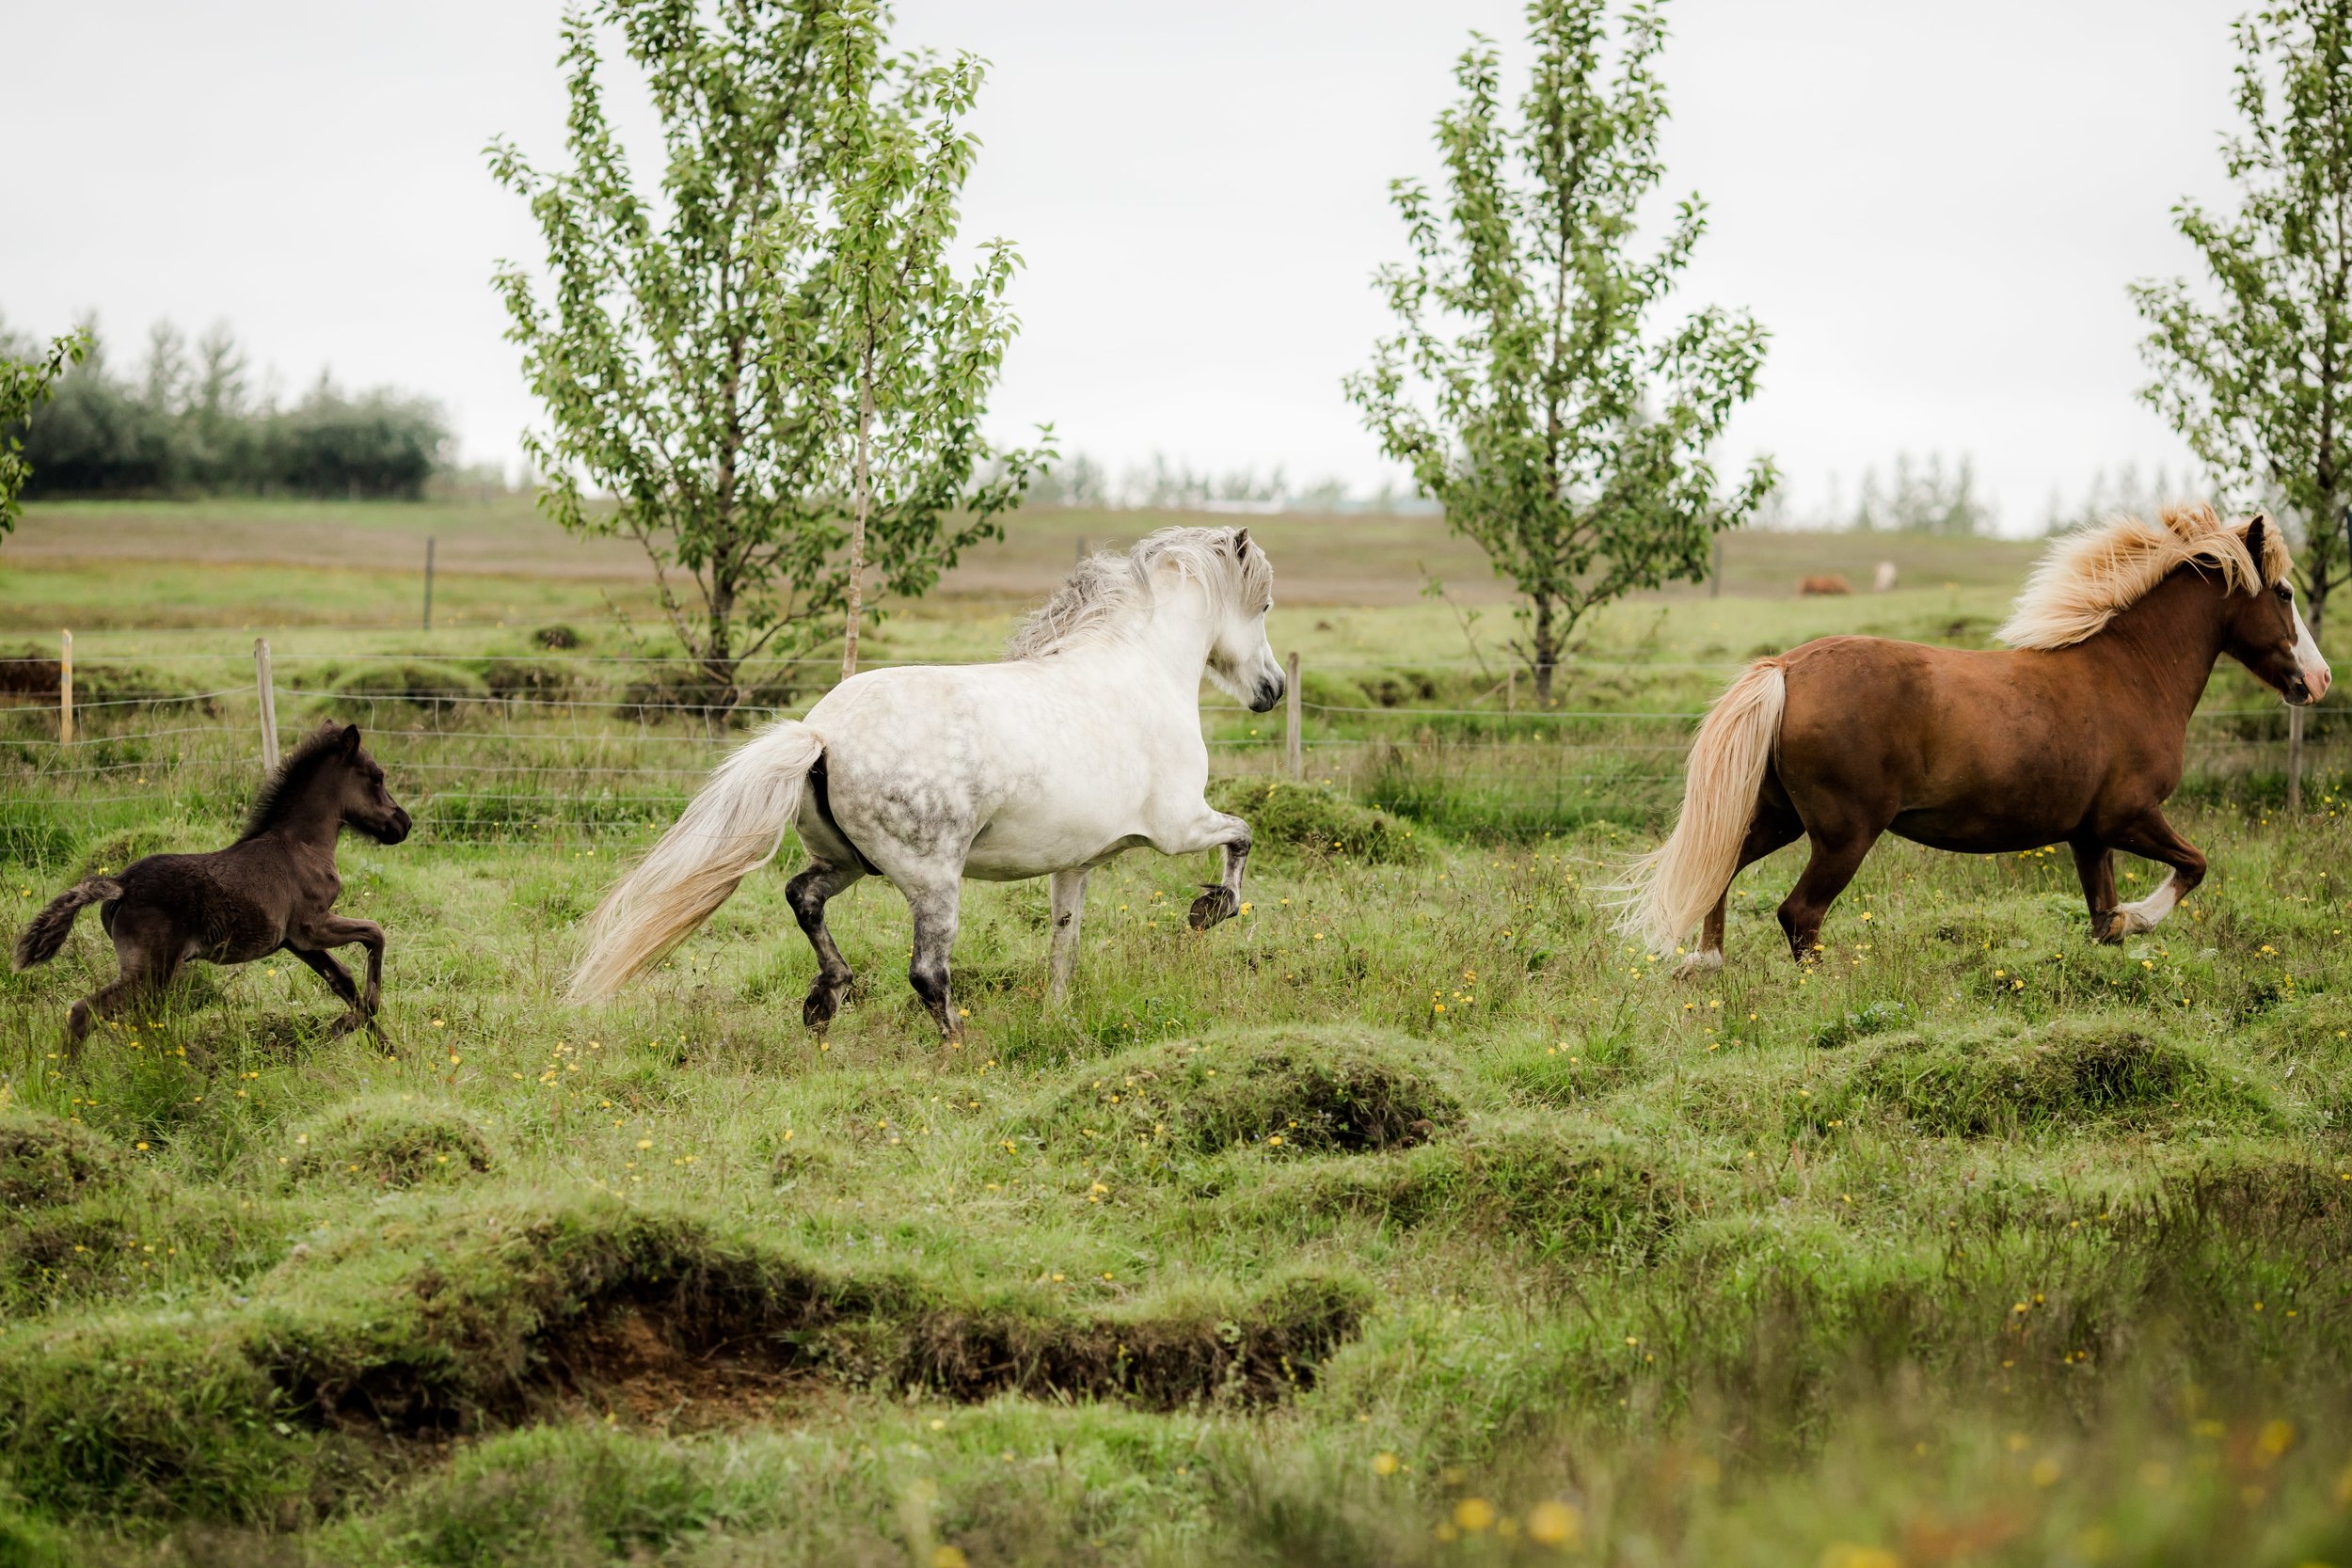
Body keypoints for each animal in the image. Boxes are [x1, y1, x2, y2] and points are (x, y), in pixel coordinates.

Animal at [12, 728, 414, 1048]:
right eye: (377, 777)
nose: (404, 824)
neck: (301, 845)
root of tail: (120, 885)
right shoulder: (312, 925)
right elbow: (375, 934)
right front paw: (349, 1024)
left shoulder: (295, 941)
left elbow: (342, 981)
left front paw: (385, 1047)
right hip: (150, 972)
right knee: (88, 1012)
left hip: (152, 975)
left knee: (139, 1020)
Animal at [580, 526, 1298, 1043]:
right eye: (1262, 604)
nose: (1273, 690)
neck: (1139, 669)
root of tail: (821, 734)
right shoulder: (1180, 825)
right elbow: (1242, 836)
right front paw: (1211, 910)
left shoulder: (1077, 861)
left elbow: (1063, 939)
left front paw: (1057, 1017)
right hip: (932, 880)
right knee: (927, 972)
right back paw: (958, 1041)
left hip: (849, 861)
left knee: (803, 897)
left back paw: (826, 999)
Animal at [1618, 502, 2333, 968]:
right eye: (2284, 592)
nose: (2318, 679)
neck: (2129, 673)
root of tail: (1786, 669)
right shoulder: (2129, 815)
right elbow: (2194, 865)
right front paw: (2141, 916)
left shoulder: (2089, 834)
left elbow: (2102, 920)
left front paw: (2115, 936)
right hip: (1844, 834)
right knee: (1800, 914)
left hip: (1779, 816)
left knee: (1723, 865)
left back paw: (1707, 963)